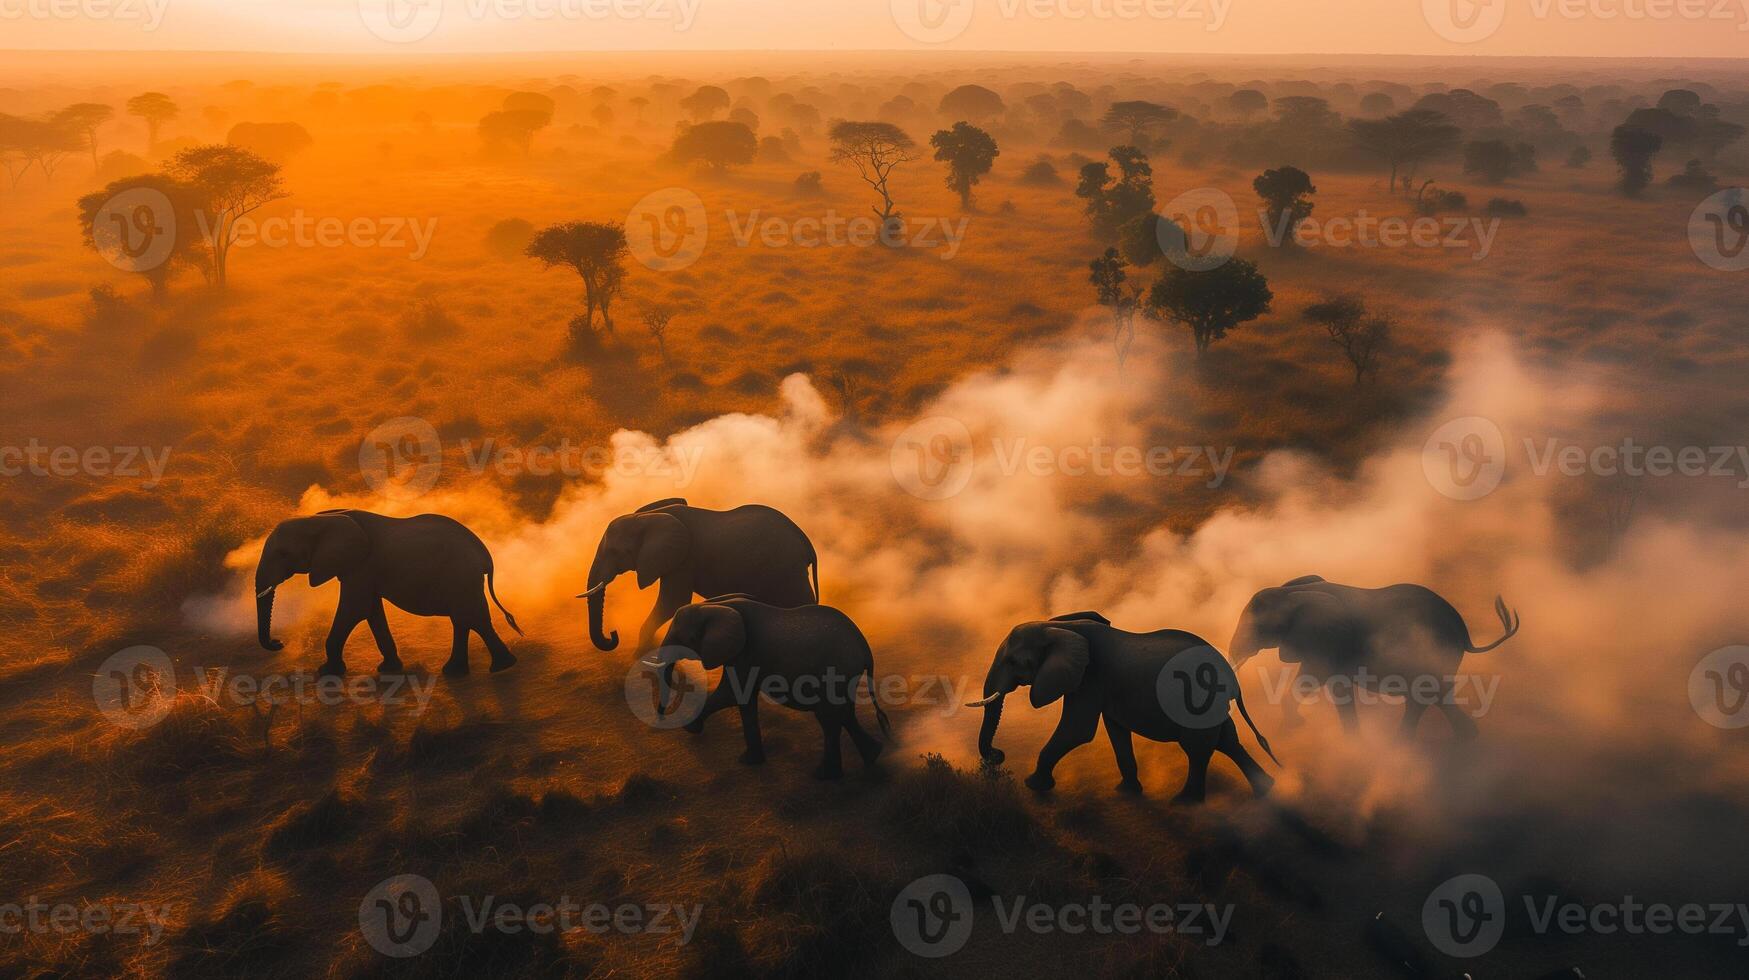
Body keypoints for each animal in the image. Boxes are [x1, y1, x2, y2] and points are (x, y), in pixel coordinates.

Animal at [253, 507, 521, 679]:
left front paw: (327, 672)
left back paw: (501, 667)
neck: (324, 519)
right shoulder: (362, 570)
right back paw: (457, 672)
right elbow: (370, 610)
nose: (278, 642)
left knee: (472, 618)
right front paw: (389, 669)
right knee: (464, 620)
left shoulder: (361, 566)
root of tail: (485, 555)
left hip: (462, 576)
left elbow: (355, 609)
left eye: (283, 554)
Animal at [643, 595, 888, 777]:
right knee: (844, 713)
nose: (661, 719)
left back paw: (824, 776)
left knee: (828, 717)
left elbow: (731, 695)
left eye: (681, 637)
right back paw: (873, 756)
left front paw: (693, 730)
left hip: (835, 671)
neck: (718, 606)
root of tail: (865, 649)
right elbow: (739, 697)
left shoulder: (744, 653)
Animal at [972, 612, 1273, 805]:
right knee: (1227, 741)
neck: (1059, 626)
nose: (998, 755)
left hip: (1199, 701)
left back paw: (1185, 803)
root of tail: (1231, 677)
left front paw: (1034, 785)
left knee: (1198, 749)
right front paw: (1126, 792)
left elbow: (1076, 731)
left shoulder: (1090, 677)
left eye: (1013, 661)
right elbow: (1115, 729)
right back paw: (1265, 790)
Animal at [1224, 574, 1525, 735]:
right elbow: (1338, 688)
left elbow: (1313, 679)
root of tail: (1465, 636)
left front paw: (1296, 726)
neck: (1292, 591)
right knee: (1437, 697)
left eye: (1256, 628)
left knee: (1421, 697)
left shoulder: (1325, 642)